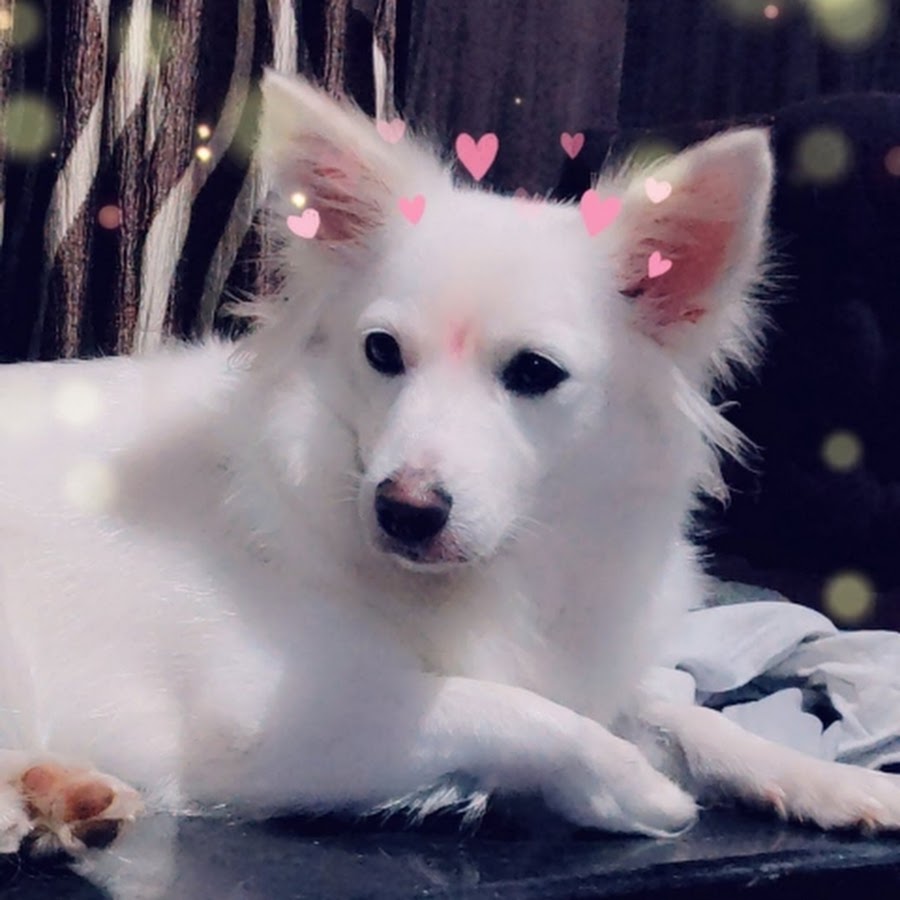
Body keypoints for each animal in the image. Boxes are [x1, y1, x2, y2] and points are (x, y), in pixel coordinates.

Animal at [0, 71, 898, 862]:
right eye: (381, 352)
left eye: (534, 372)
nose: (402, 509)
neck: (499, 573)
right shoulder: (270, 718)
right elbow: (510, 708)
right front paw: (635, 788)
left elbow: (685, 711)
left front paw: (827, 781)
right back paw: (38, 804)